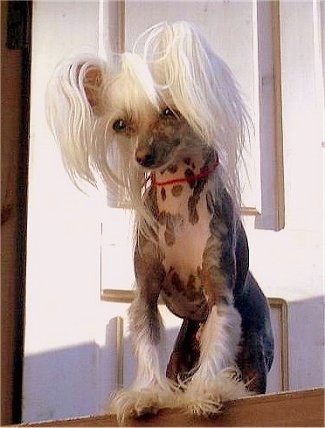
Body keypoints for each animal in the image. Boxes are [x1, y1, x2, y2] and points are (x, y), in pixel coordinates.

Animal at [46, 20, 274, 422]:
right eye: (120, 124)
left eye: (169, 112)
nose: (142, 156)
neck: (180, 197)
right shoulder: (147, 294)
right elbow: (147, 343)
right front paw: (146, 395)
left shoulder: (219, 296)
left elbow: (218, 343)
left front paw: (206, 391)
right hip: (181, 351)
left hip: (255, 349)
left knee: (249, 374)